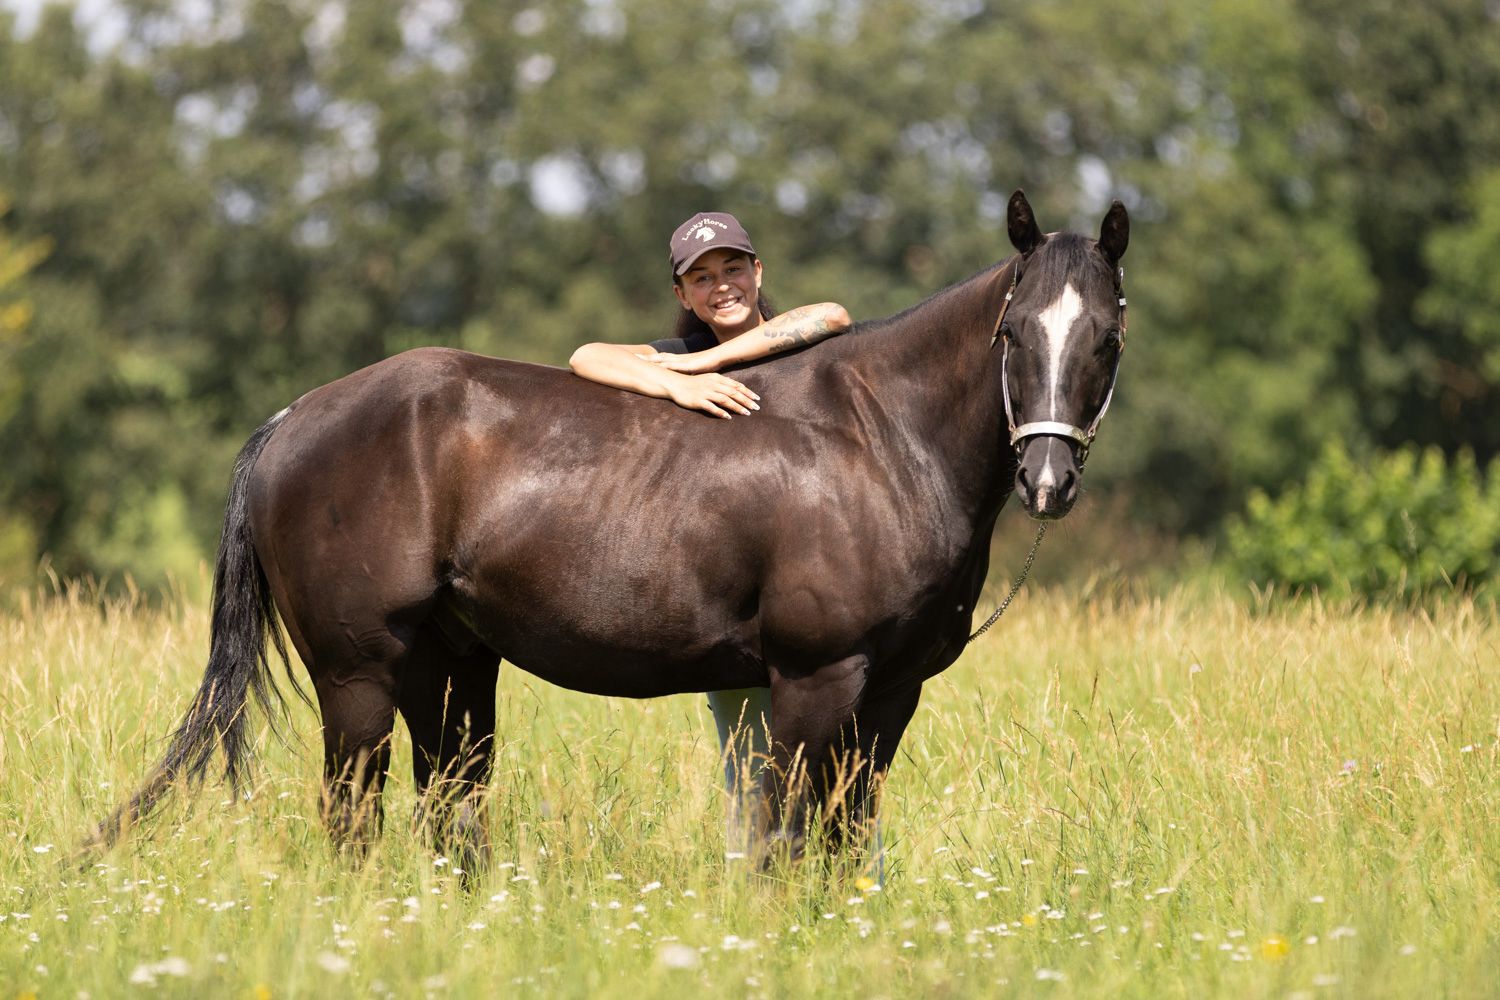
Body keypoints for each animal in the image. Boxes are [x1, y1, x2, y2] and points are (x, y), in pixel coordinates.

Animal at [93, 190, 1129, 871]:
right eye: (1014, 334)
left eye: (1107, 337)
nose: (1047, 481)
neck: (877, 436)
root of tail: (292, 419)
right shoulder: (815, 680)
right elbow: (788, 840)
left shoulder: (892, 692)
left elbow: (843, 838)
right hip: (357, 678)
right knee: (355, 819)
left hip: (449, 669)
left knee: (449, 811)